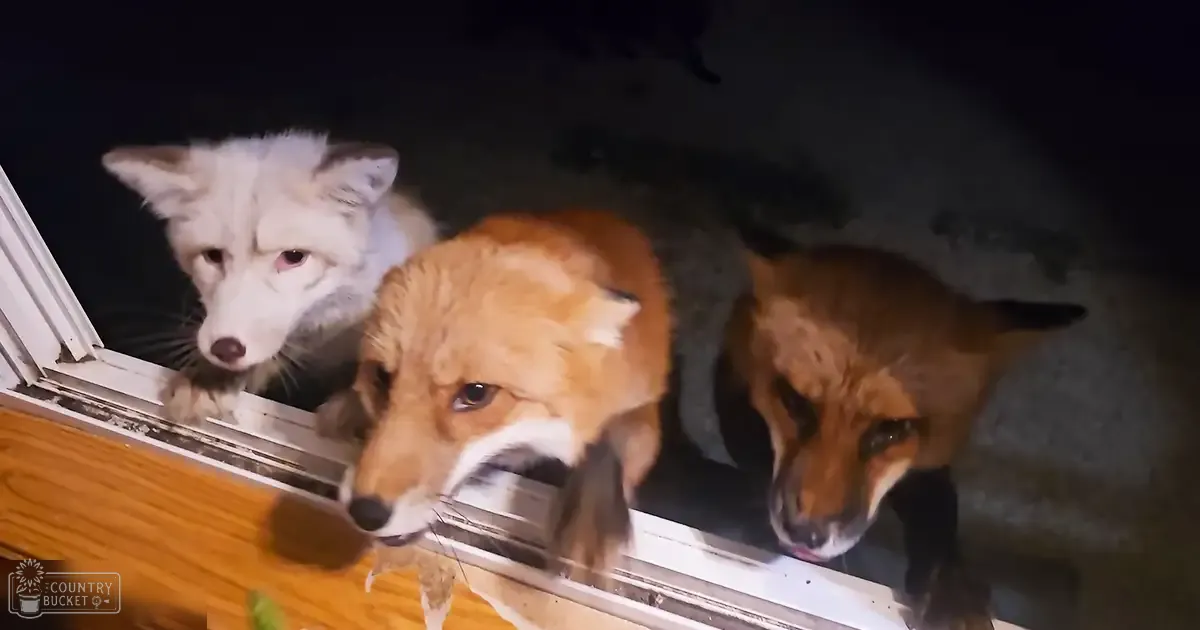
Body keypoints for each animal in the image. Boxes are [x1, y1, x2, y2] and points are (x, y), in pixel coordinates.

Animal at [337, 209, 671, 579]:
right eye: (382, 377)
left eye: (476, 393)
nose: (365, 512)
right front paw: (345, 409)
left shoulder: (641, 400)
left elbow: (615, 439)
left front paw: (593, 518)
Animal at [712, 220, 1087, 630]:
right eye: (796, 403)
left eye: (890, 430)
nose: (804, 533)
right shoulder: (735, 399)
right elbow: (754, 470)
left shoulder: (930, 469)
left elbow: (941, 533)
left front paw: (954, 599)